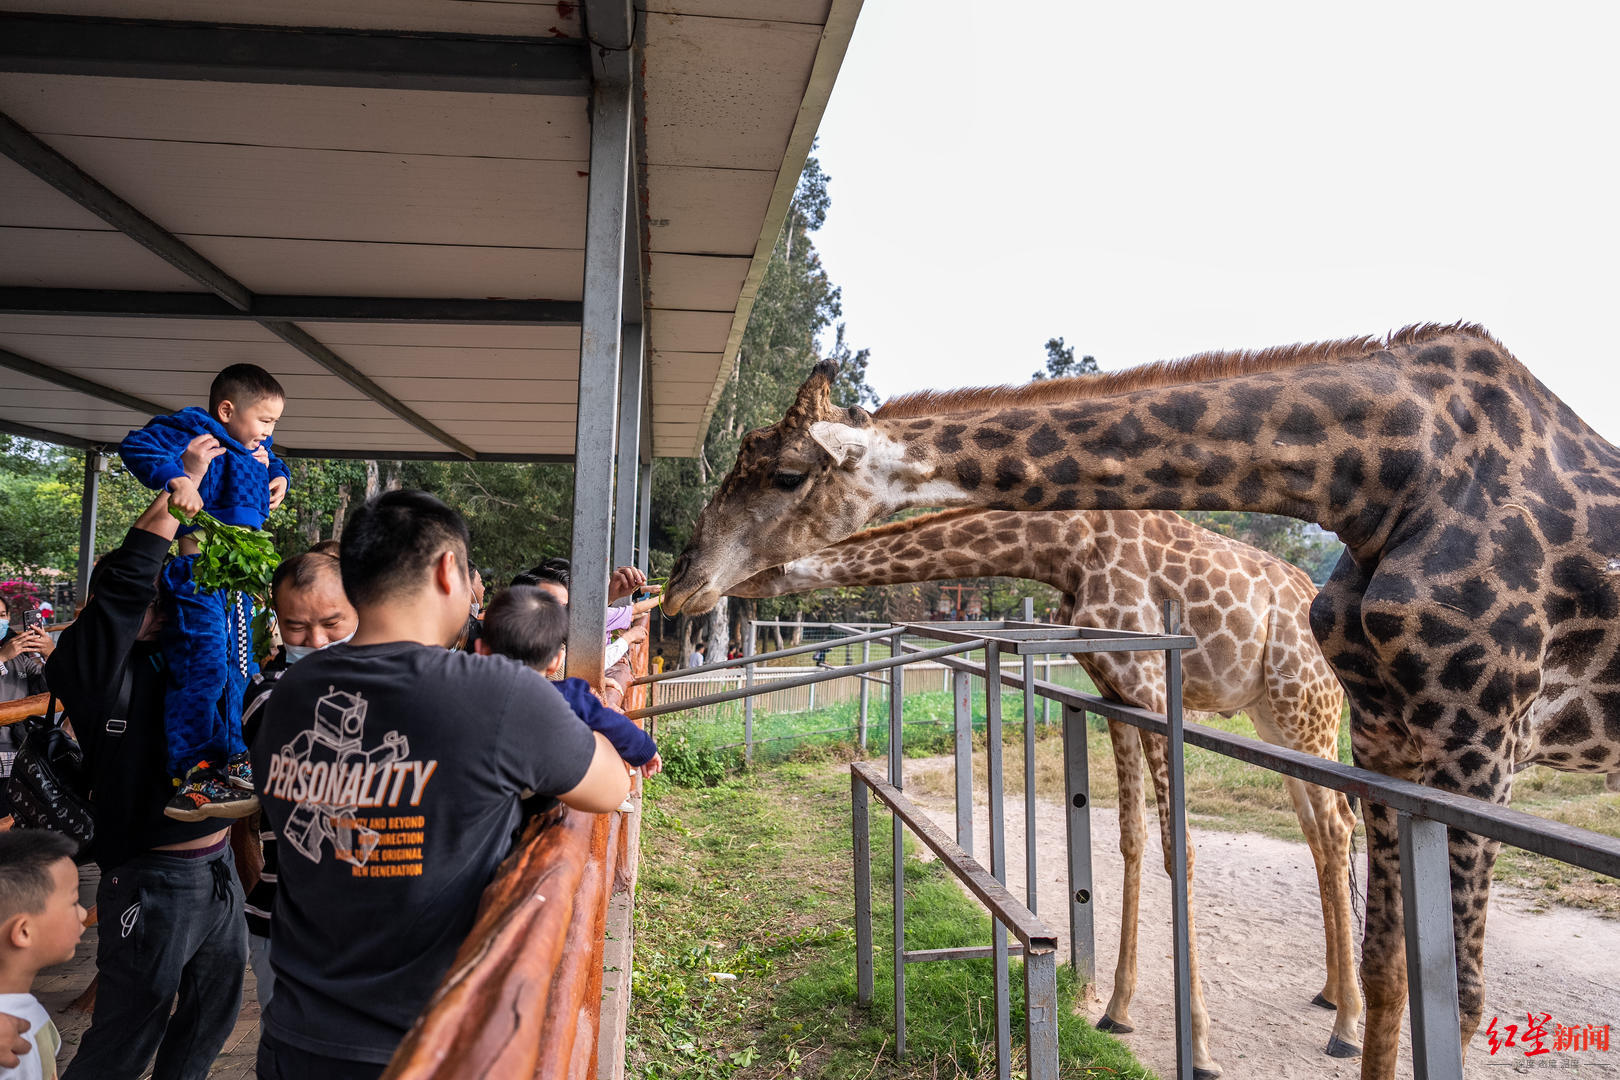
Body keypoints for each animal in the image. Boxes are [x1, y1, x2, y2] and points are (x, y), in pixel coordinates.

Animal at [732, 508, 1354, 1075]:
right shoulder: (1117, 695)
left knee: (1338, 823)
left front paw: (1200, 1051)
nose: (719, 590)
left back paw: (1346, 1028)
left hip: (1307, 707)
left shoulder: (1154, 686)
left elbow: (1179, 849)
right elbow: (1131, 837)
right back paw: (1331, 994)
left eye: (760, 557)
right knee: (1319, 828)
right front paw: (1116, 1010)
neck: (1071, 548)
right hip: (1272, 717)